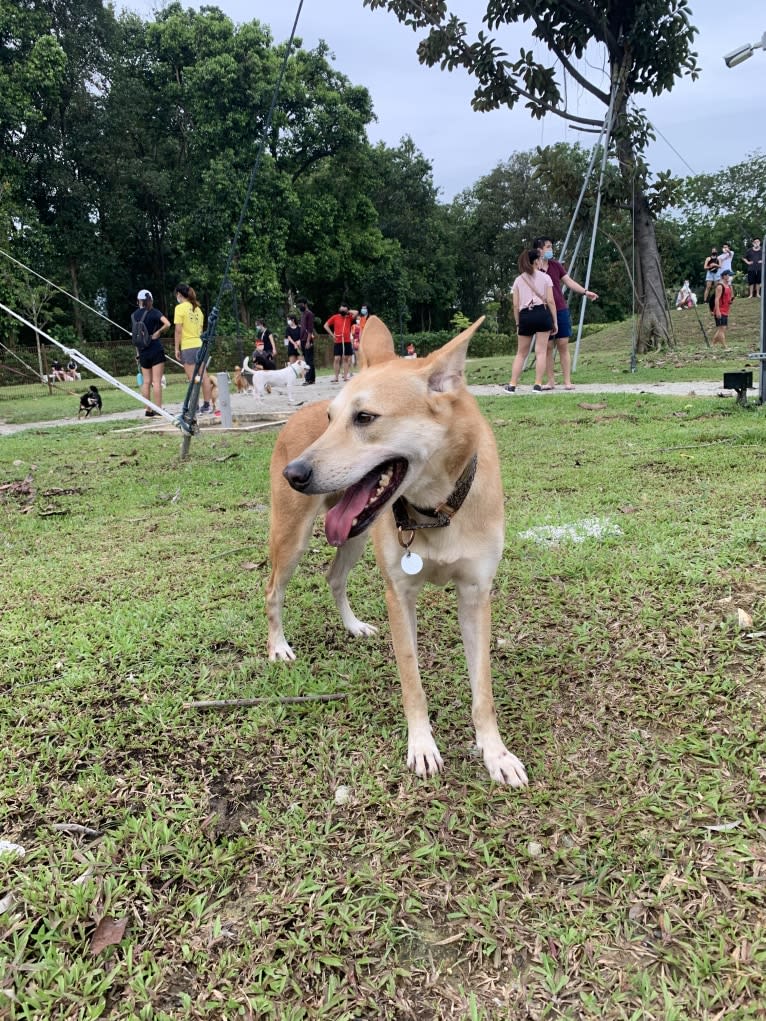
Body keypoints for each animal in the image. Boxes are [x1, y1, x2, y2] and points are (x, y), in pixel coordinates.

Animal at [265, 314, 527, 784]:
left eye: (365, 417)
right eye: (331, 418)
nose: (293, 473)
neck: (435, 510)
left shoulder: (476, 594)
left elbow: (483, 690)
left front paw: (495, 753)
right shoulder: (399, 595)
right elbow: (412, 681)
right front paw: (422, 746)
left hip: (352, 536)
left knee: (334, 576)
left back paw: (353, 626)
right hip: (292, 537)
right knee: (273, 589)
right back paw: (278, 647)